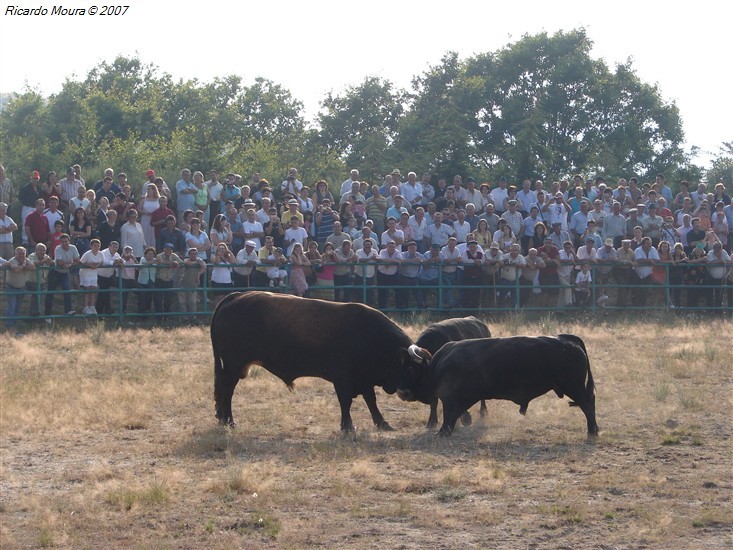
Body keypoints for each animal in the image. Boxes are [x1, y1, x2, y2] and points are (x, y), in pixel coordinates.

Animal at [209, 294, 420, 436]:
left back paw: (223, 420)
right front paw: (348, 427)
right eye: (409, 367)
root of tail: (235, 297)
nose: (408, 394)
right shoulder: (343, 378)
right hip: (233, 367)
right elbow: (346, 401)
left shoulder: (364, 378)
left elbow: (371, 401)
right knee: (227, 392)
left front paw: (383, 424)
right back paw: (229, 421)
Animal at [398, 336, 596, 440]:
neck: (438, 365)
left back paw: (592, 431)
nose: (402, 392)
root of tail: (567, 340)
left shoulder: (450, 397)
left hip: (574, 387)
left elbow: (449, 414)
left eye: (410, 369)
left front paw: (443, 432)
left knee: (587, 404)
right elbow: (454, 415)